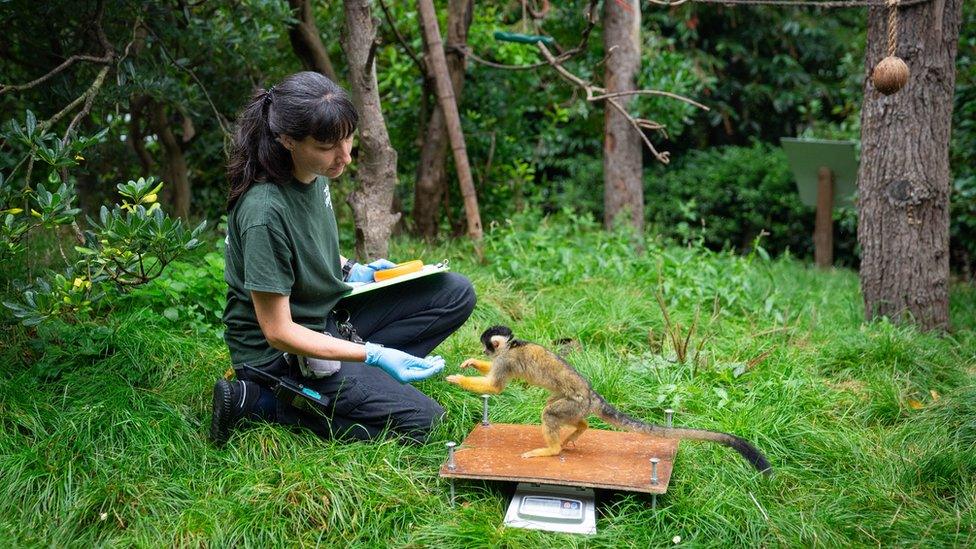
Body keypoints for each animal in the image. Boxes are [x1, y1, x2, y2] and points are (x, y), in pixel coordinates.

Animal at [446, 324, 772, 474]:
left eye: (488, 345)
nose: (484, 351)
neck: (512, 346)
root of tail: (593, 397)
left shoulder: (507, 360)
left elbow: (496, 386)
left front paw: (458, 378)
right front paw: (471, 364)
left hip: (575, 401)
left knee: (551, 413)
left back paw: (553, 449)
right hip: (577, 403)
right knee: (555, 409)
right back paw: (578, 430)